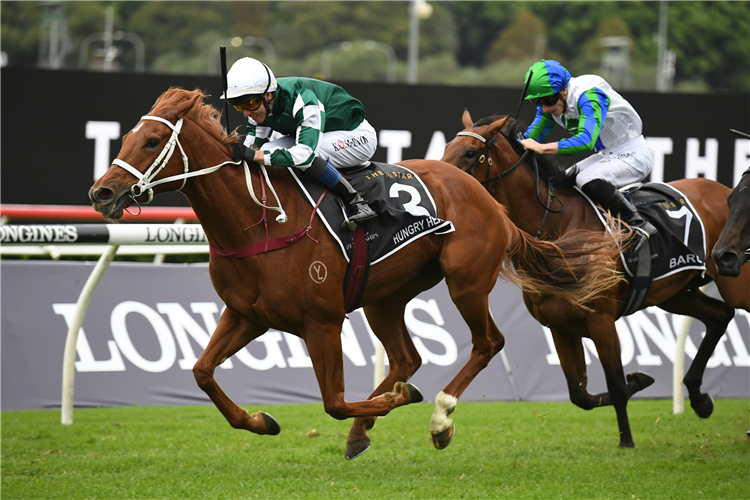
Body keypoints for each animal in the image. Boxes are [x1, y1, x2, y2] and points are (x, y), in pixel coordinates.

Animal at [88, 88, 628, 458]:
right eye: (128, 137)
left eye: (152, 140)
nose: (102, 193)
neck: (257, 219)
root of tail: (487, 198)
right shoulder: (247, 315)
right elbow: (201, 372)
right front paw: (262, 421)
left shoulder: (322, 322)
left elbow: (333, 401)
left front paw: (397, 405)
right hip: (383, 297)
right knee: (407, 357)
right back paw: (367, 426)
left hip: (465, 281)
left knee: (486, 342)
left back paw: (439, 417)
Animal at [444, 110, 750, 450]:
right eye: (447, 147)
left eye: (470, 153)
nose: (442, 177)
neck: (561, 230)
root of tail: (721, 191)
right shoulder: (560, 326)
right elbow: (580, 395)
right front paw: (640, 381)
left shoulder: (601, 321)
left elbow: (615, 386)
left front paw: (626, 440)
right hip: (676, 293)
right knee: (720, 315)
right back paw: (699, 398)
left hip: (734, 280)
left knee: (727, 310)